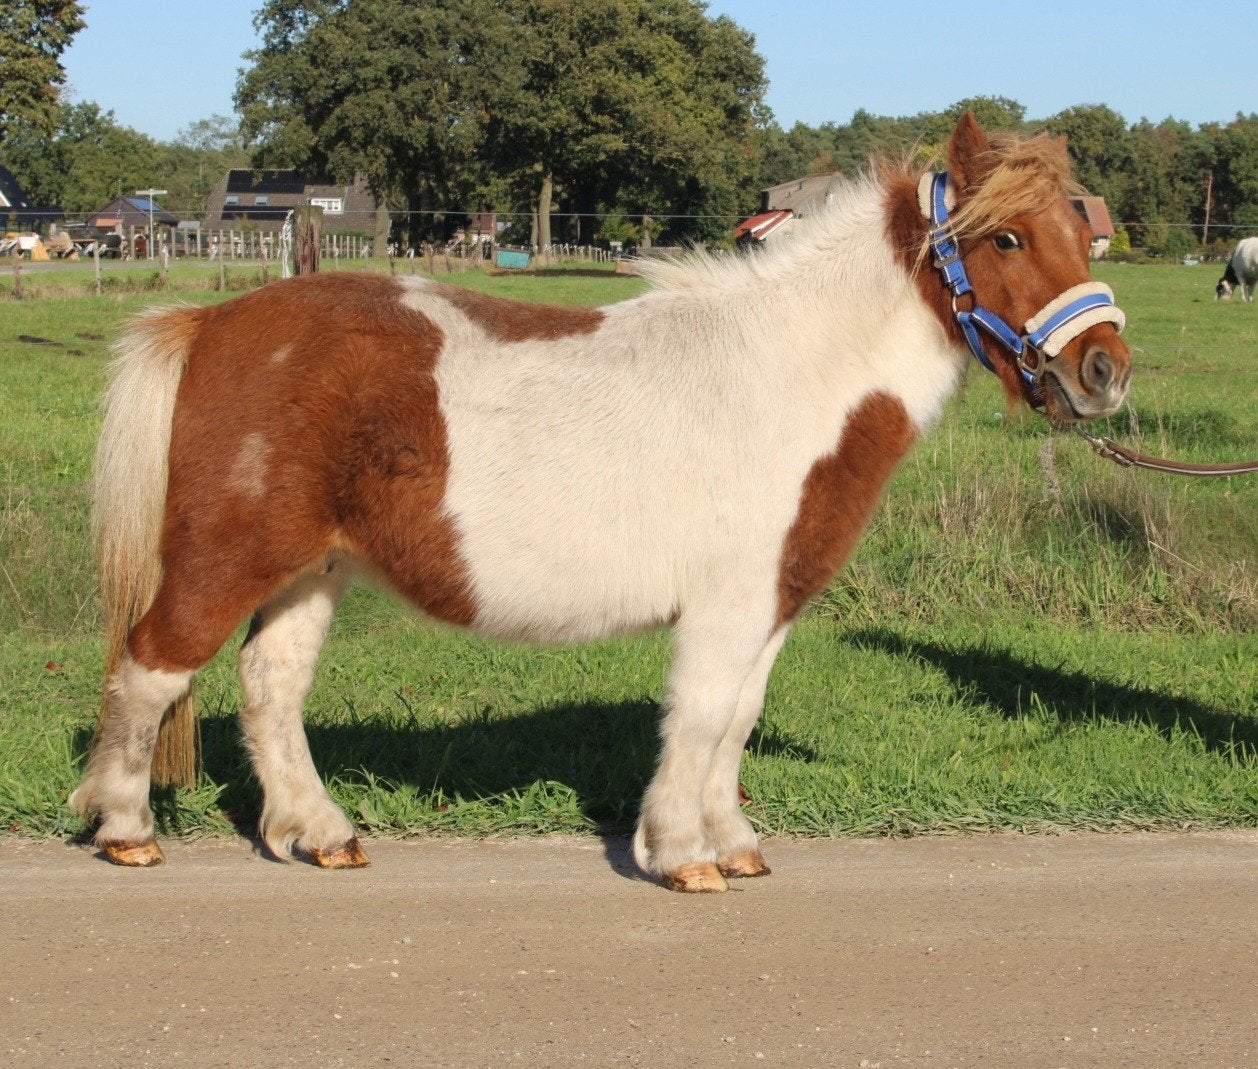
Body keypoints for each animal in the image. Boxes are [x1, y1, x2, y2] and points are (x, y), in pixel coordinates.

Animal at [71, 113, 1131, 892]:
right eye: (1005, 237)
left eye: (1085, 232)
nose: (1104, 370)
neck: (788, 375)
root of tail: (211, 320)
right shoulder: (728, 607)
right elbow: (700, 717)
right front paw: (682, 855)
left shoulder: (768, 605)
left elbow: (736, 720)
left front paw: (732, 842)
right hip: (228, 557)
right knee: (149, 669)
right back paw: (125, 826)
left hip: (313, 568)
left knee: (271, 686)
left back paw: (318, 831)